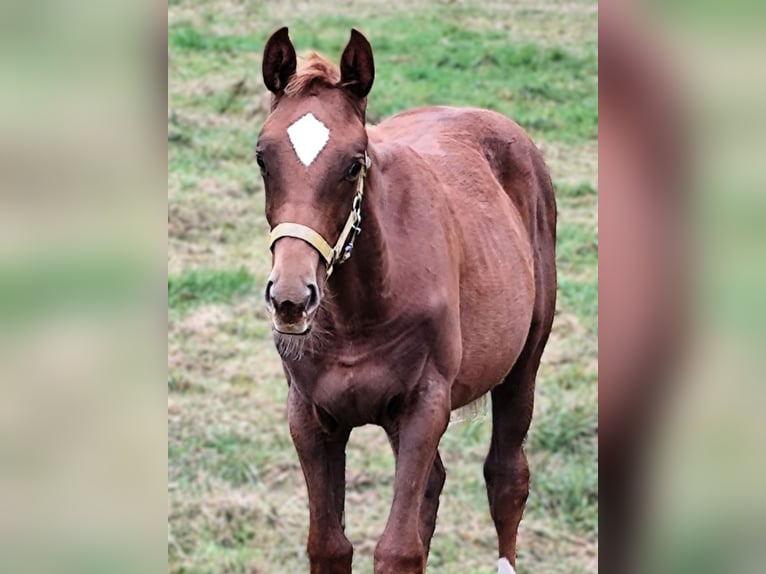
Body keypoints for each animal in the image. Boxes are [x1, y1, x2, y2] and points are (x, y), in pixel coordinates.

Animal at [256, 27, 556, 574]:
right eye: (262, 158)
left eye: (354, 163)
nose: (291, 299)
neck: (356, 316)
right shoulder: (308, 415)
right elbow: (330, 546)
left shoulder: (425, 406)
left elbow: (398, 548)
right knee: (434, 485)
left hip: (523, 363)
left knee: (507, 478)